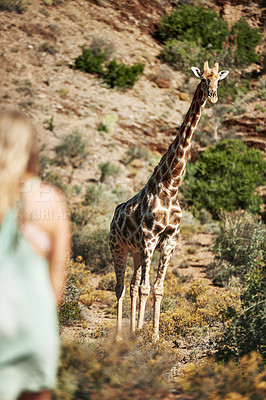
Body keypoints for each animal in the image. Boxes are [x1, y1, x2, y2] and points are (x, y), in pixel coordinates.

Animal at [109, 60, 230, 340]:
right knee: (120, 287)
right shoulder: (149, 237)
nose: (213, 96)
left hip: (135, 251)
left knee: (132, 285)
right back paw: (119, 335)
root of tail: (114, 214)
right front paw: (141, 335)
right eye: (203, 79)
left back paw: (130, 330)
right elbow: (146, 288)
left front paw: (153, 336)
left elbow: (157, 288)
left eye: (218, 79)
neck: (171, 186)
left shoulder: (169, 241)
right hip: (118, 247)